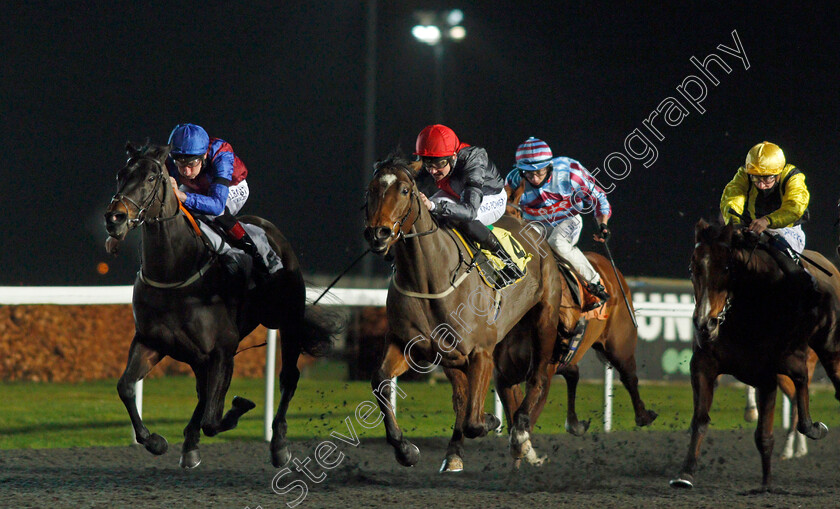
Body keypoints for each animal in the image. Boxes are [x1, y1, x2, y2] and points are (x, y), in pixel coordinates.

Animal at [106, 142, 336, 468]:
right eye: (120, 174)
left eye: (151, 177)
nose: (115, 218)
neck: (175, 272)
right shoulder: (152, 341)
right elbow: (125, 387)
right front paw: (155, 441)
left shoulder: (223, 350)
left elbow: (213, 419)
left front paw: (240, 406)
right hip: (197, 355)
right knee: (203, 394)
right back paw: (190, 443)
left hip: (287, 321)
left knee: (288, 378)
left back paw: (278, 443)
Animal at [364, 153, 580, 470]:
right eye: (370, 190)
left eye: (404, 190)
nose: (378, 234)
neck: (430, 278)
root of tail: (534, 230)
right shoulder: (413, 346)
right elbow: (381, 382)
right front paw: (406, 449)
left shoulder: (480, 352)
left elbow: (474, 421)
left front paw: (491, 421)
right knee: (494, 390)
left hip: (545, 320)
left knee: (538, 378)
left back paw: (521, 436)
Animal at [672, 219, 840, 488]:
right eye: (692, 267)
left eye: (727, 267)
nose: (705, 323)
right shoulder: (704, 364)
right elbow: (700, 419)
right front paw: (685, 473)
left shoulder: (767, 375)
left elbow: (764, 435)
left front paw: (766, 484)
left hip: (828, 350)